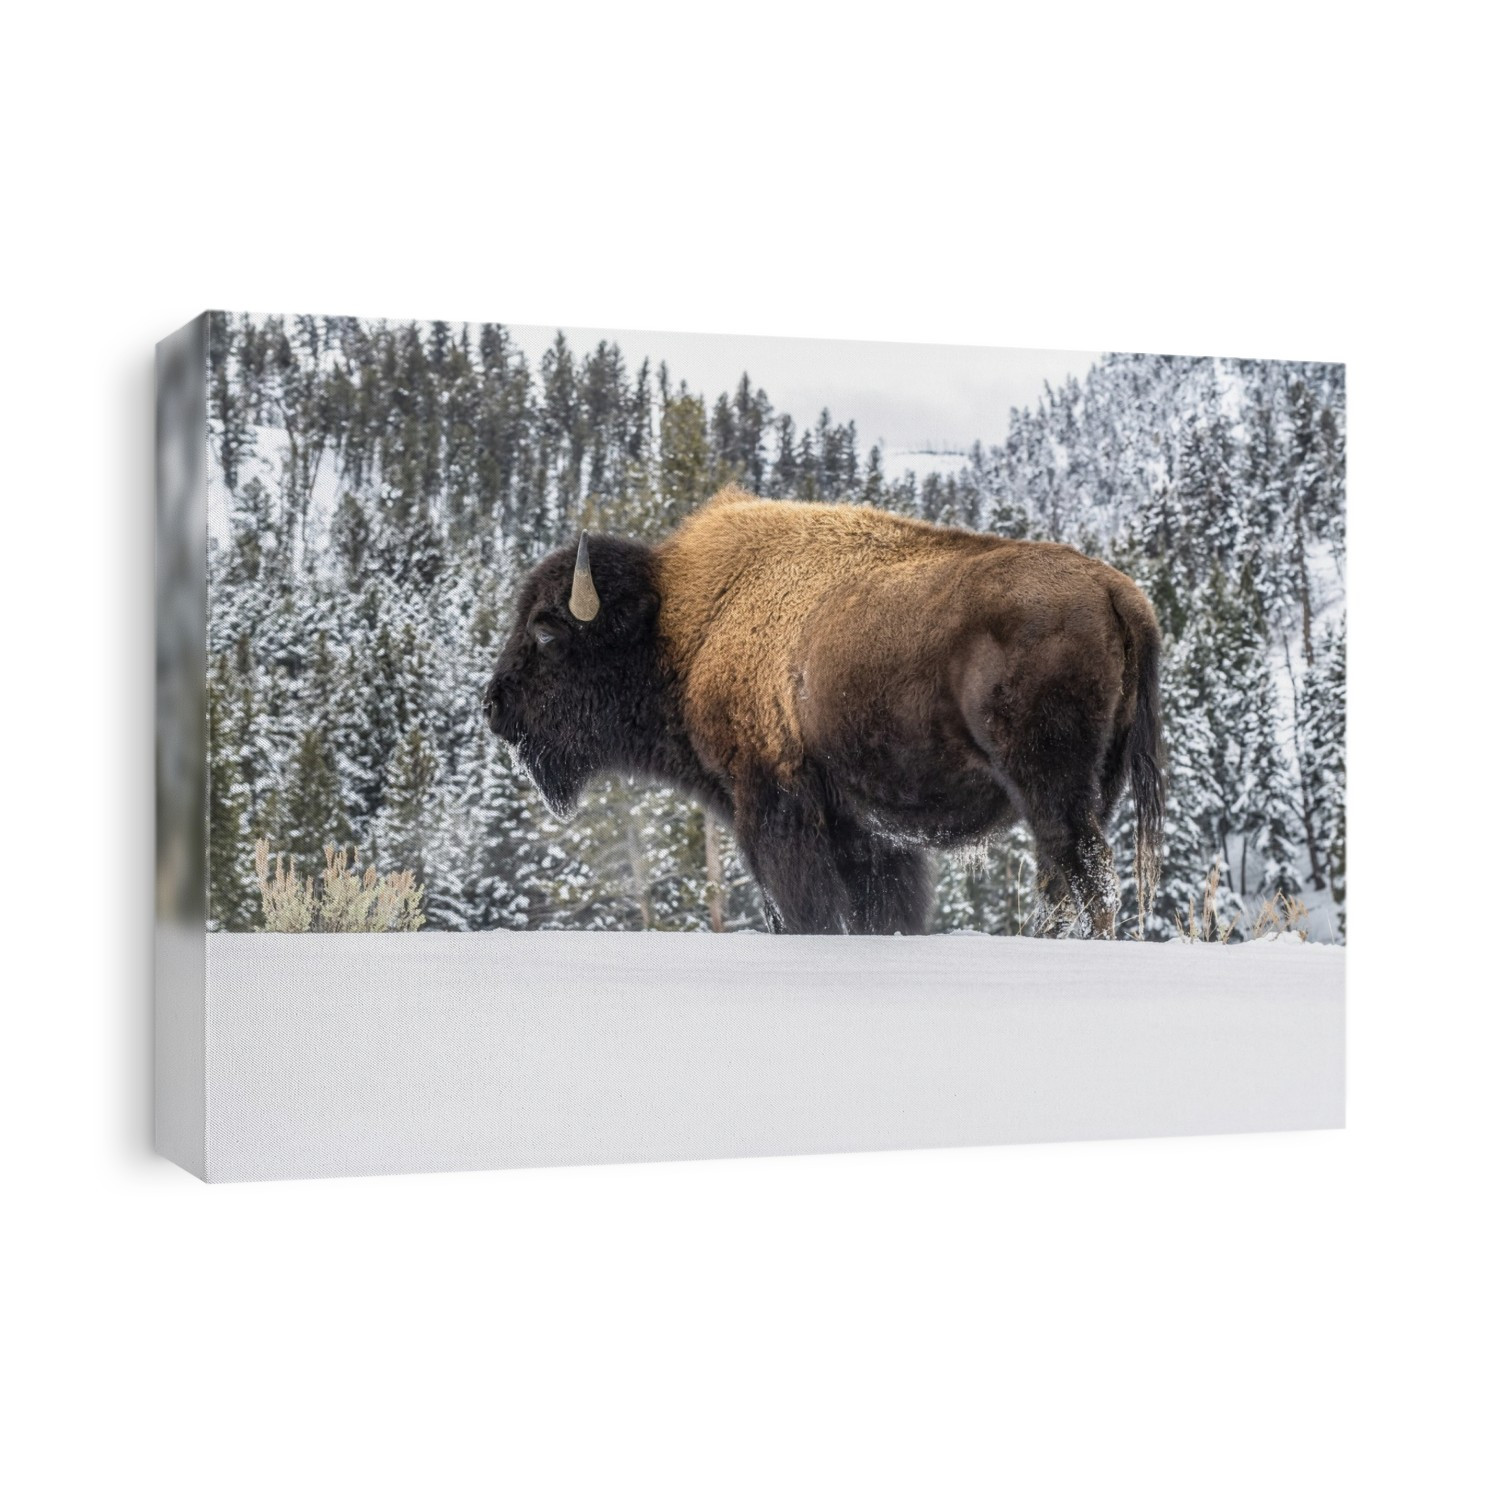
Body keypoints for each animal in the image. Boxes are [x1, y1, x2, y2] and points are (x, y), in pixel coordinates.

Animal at [483, 486, 1164, 937]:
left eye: (545, 630)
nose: (493, 707)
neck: (682, 625)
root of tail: (1118, 592)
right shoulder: (867, 833)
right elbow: (880, 912)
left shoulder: (772, 808)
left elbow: (802, 910)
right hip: (1093, 787)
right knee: (1069, 875)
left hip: (1051, 786)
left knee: (1085, 875)